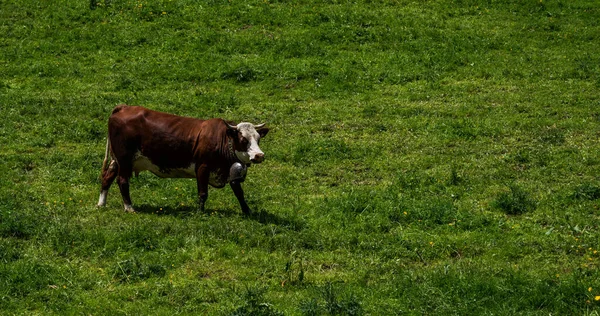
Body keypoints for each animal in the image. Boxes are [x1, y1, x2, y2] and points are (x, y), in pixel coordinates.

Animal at [96, 105, 270, 214]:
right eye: (243, 139)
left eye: (258, 138)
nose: (259, 155)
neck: (221, 138)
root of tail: (123, 107)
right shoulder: (202, 167)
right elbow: (202, 193)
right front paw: (200, 212)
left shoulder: (231, 171)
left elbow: (239, 193)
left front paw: (247, 211)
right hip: (124, 159)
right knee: (122, 181)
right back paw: (129, 208)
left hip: (117, 160)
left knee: (107, 177)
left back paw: (101, 204)